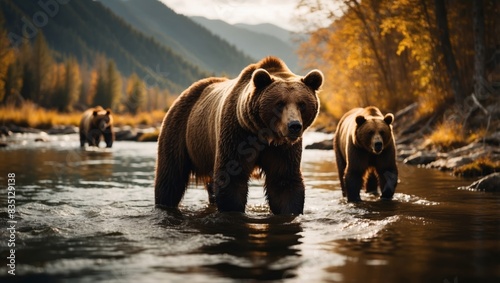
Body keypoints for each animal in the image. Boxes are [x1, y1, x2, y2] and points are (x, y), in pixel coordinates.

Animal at [154, 56, 322, 214]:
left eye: (302, 104)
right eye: (279, 103)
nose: (294, 126)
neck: (262, 134)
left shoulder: (282, 149)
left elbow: (284, 181)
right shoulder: (237, 135)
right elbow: (231, 179)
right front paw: (233, 209)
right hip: (180, 130)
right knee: (170, 177)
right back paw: (164, 203)